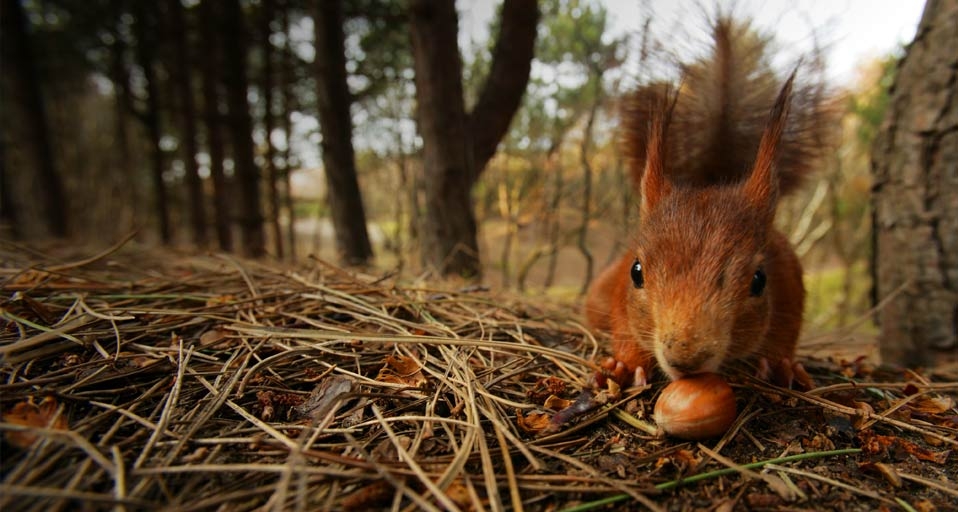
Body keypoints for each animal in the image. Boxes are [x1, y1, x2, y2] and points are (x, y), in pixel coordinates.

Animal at [584, 18, 830, 388]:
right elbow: (624, 320)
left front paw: (781, 364)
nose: (685, 358)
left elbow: (786, 327)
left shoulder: (789, 278)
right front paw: (625, 365)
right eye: (636, 272)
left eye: (759, 280)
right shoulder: (620, 291)